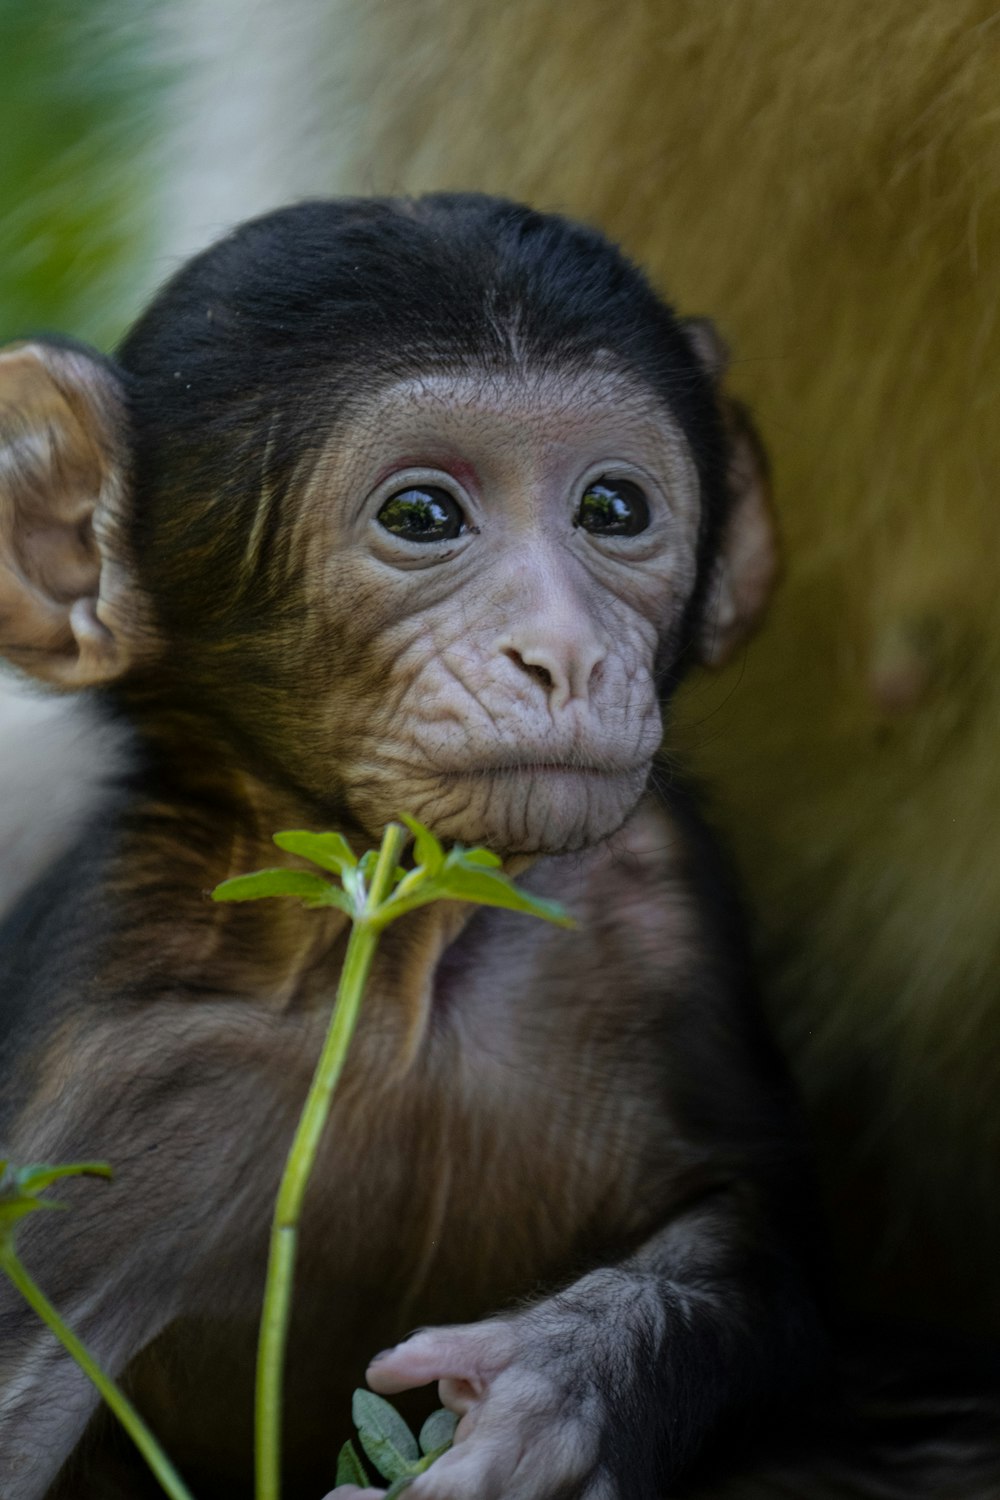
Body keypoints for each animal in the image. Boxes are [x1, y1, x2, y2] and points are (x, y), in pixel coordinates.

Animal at [0, 199, 815, 1500]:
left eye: (614, 511)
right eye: (422, 517)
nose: (565, 651)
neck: (401, 954)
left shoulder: (662, 919)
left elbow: (759, 1233)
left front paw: (555, 1383)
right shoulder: (133, 1051)